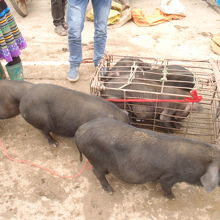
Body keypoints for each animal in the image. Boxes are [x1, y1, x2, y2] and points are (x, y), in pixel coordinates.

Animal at [75, 117, 220, 199]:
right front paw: (173, 197)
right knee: (96, 172)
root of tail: (80, 130)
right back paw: (110, 191)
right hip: (96, 159)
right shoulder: (169, 176)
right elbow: (166, 186)